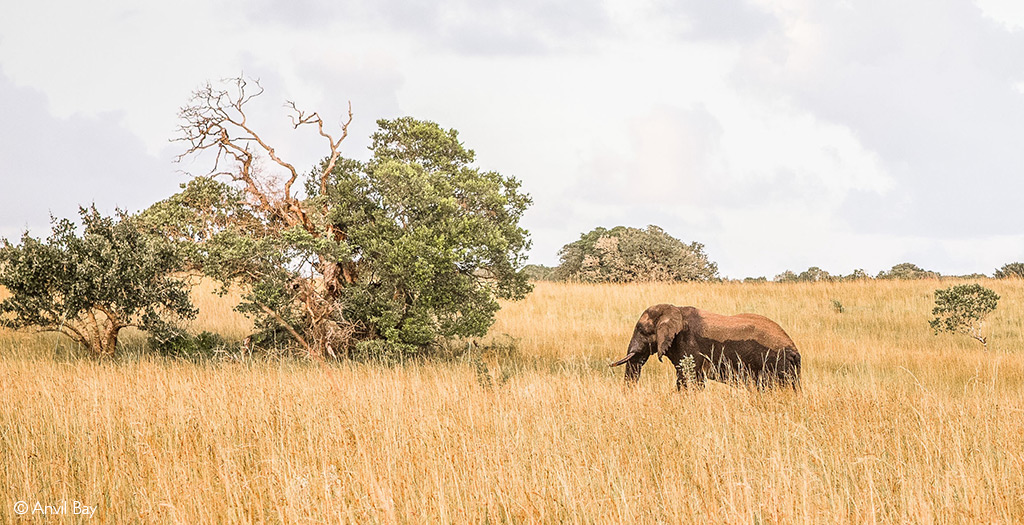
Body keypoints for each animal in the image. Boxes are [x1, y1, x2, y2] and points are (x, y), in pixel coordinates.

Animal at [606, 302, 798, 388]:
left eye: (641, 330)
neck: (674, 309)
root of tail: (794, 350)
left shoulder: (688, 343)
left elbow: (688, 378)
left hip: (773, 364)